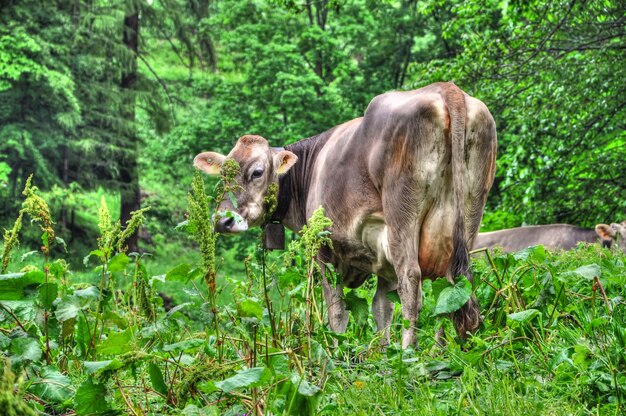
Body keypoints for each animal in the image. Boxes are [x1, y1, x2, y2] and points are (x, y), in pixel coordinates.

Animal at [193, 82, 494, 348]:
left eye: (257, 172)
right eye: (222, 176)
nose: (222, 220)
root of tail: (446, 89)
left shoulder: (324, 250)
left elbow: (337, 310)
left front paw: (338, 353)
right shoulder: (382, 261)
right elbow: (381, 309)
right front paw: (383, 355)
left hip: (402, 217)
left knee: (412, 284)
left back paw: (409, 354)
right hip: (467, 215)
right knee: (451, 288)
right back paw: (439, 352)